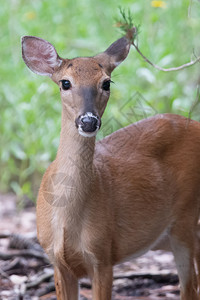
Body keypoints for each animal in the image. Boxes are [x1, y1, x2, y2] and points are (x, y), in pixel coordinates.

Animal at [21, 31, 200, 300]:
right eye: (65, 83)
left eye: (106, 83)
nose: (88, 121)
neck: (67, 218)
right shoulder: (57, 260)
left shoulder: (103, 255)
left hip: (185, 219)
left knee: (189, 287)